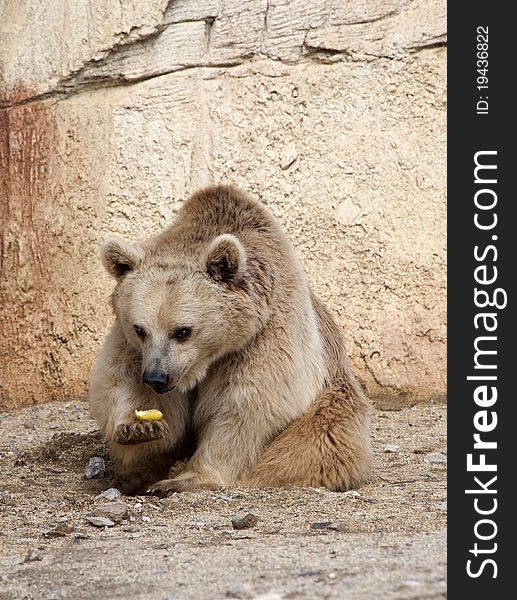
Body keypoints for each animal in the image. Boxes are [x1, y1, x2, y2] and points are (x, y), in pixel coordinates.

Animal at [88, 185, 370, 494]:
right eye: (140, 329)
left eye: (183, 331)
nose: (157, 377)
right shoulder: (131, 346)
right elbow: (121, 379)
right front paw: (139, 428)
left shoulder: (265, 335)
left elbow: (247, 402)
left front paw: (187, 477)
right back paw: (137, 474)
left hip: (334, 398)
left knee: (312, 443)